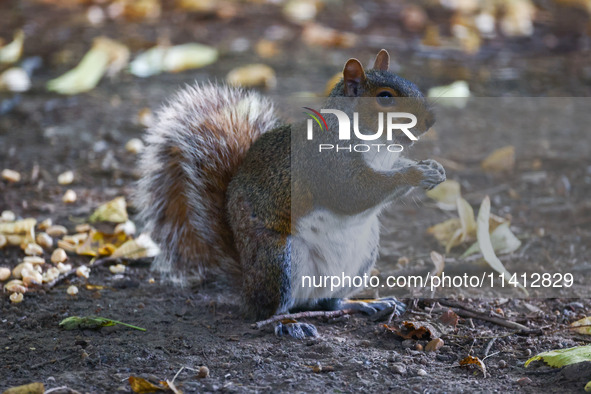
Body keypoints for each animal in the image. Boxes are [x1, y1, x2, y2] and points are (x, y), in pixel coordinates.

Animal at [136, 49, 446, 326]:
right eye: (385, 97)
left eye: (412, 85)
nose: (431, 121)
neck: (379, 145)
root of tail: (246, 285)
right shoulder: (328, 164)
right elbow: (355, 192)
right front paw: (415, 173)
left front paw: (433, 167)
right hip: (279, 258)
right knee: (270, 309)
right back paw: (287, 323)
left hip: (361, 258)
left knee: (328, 302)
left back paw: (365, 303)